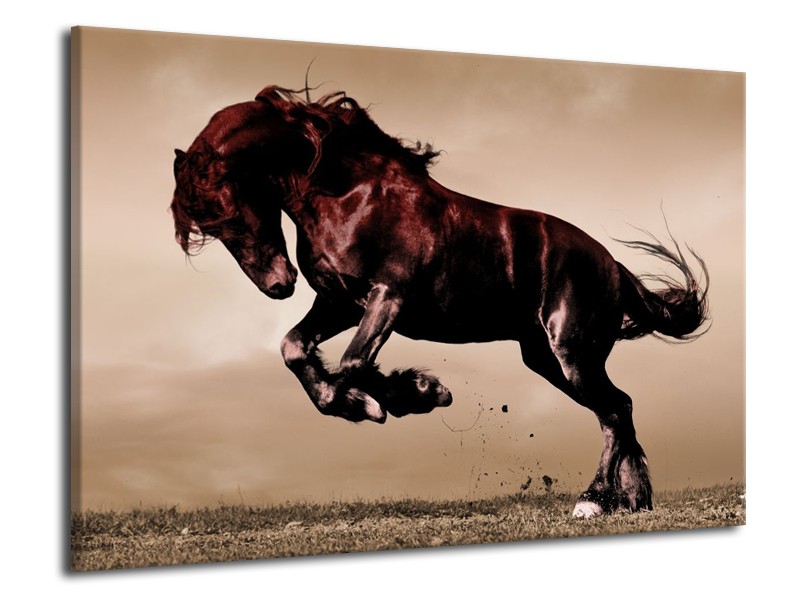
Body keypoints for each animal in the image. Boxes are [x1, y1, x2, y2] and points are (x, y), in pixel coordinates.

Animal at [170, 85, 709, 518]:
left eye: (230, 210)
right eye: (207, 226)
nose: (279, 284)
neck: (350, 195)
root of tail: (613, 267)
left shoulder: (388, 298)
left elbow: (351, 363)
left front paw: (414, 393)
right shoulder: (339, 303)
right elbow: (296, 350)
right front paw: (367, 400)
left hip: (571, 353)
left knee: (615, 410)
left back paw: (594, 500)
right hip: (547, 359)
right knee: (618, 409)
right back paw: (631, 498)